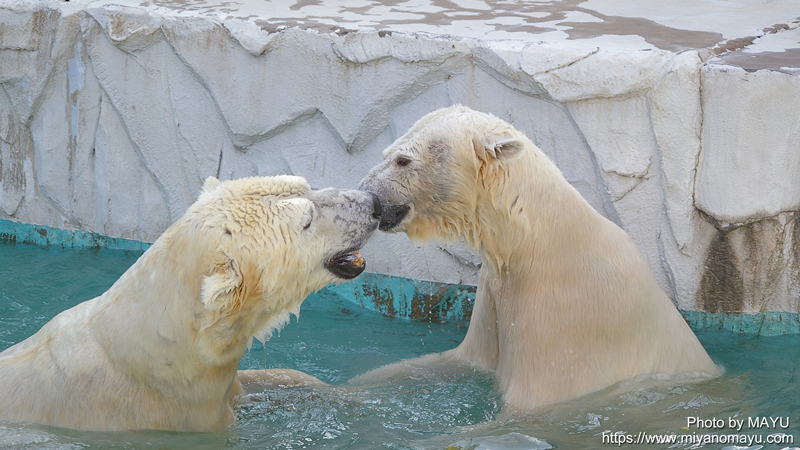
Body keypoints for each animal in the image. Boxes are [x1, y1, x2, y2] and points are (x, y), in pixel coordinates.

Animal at [356, 104, 720, 412]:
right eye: (387, 152)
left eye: (403, 160)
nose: (367, 196)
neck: (531, 242)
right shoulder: (494, 296)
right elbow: (461, 360)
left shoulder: (562, 319)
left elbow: (529, 403)